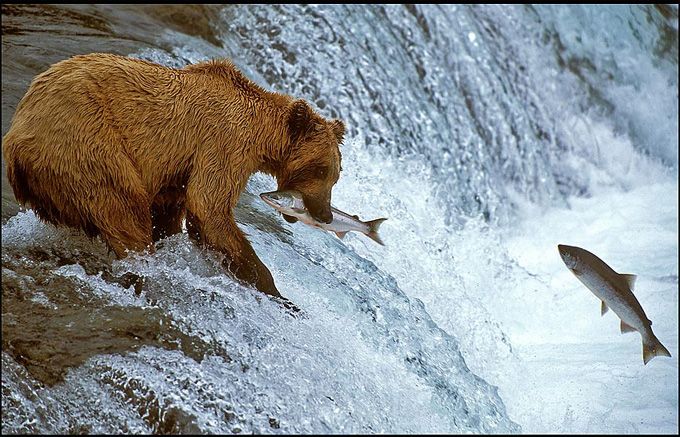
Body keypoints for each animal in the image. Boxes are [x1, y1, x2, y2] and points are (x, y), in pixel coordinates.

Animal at [2, 51, 346, 296]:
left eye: (335, 174)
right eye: (320, 169)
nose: (325, 214)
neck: (263, 135)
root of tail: (15, 139)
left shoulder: (177, 170)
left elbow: (171, 211)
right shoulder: (223, 143)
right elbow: (208, 207)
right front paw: (277, 291)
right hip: (86, 144)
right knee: (124, 209)